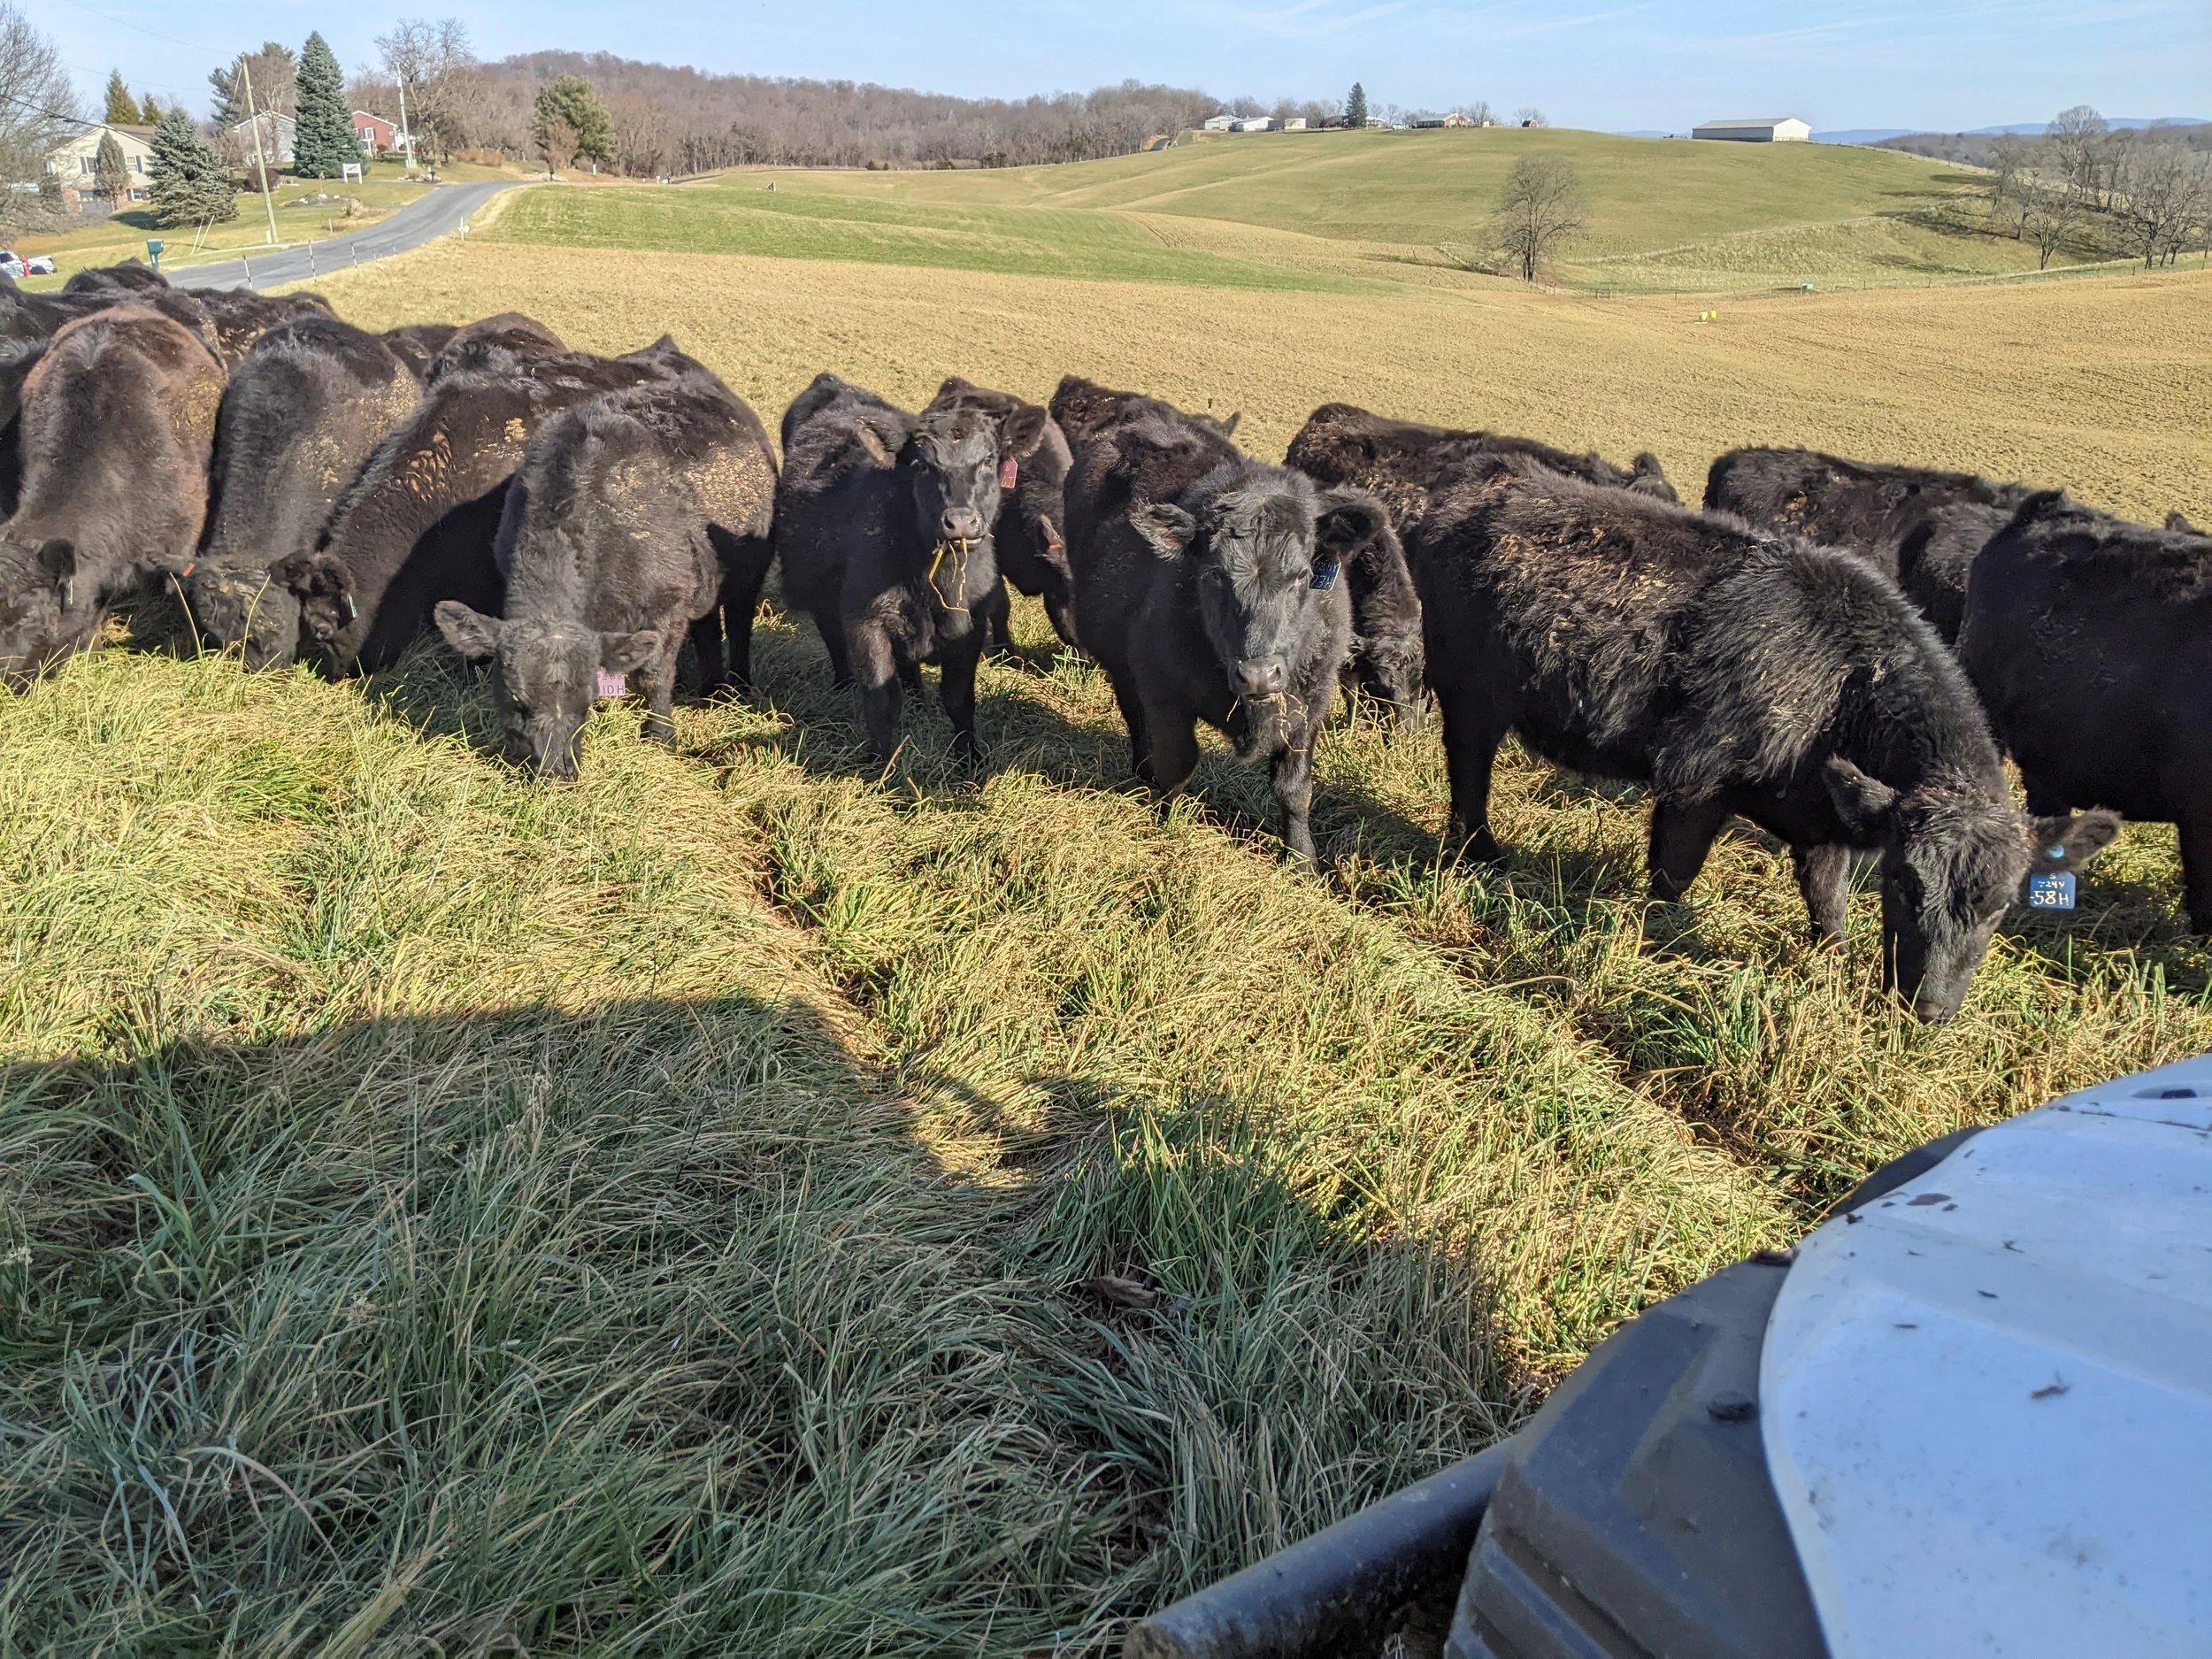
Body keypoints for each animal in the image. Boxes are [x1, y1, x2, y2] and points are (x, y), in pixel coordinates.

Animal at [432, 362, 778, 776]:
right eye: (517, 699)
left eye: (586, 698)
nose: (557, 769)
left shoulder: (667, 605)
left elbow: (654, 677)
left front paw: (661, 737)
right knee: (707, 626)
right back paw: (709, 689)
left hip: (750, 573)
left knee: (739, 622)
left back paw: (737, 687)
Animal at [772, 373, 1043, 764]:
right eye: (922, 465)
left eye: (989, 460)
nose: (961, 522)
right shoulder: (865, 621)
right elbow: (881, 699)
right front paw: (880, 766)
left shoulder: (971, 628)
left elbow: (959, 700)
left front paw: (969, 762)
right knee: (834, 638)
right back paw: (844, 686)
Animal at [1063, 399, 1386, 863]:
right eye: (1214, 573)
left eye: (1303, 574)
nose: (1258, 675)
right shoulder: (1164, 693)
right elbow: (1177, 765)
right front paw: (1167, 828)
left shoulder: (1312, 704)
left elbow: (1295, 789)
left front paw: (1303, 860)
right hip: (1120, 662)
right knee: (1134, 716)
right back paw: (1142, 771)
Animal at [1413, 462, 2117, 1021]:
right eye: (1903, 884)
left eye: (1999, 908)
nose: (1932, 1009)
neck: (1840, 687)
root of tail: (1481, 489)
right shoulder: (1695, 780)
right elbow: (1672, 874)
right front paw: (1660, 945)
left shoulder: (1828, 822)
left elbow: (1829, 904)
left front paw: (1830, 966)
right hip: (1468, 691)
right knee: (1468, 767)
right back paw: (1480, 855)